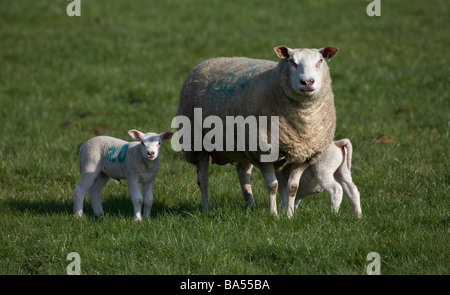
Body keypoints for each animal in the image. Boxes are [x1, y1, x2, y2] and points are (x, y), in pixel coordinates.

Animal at [176, 45, 338, 217]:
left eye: (320, 61)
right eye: (292, 62)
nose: (307, 82)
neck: (304, 118)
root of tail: (207, 61)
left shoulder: (305, 155)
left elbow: (293, 187)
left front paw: (289, 215)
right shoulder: (263, 152)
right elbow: (273, 185)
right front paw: (273, 214)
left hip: (244, 144)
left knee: (242, 172)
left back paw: (250, 204)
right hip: (196, 142)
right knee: (203, 179)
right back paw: (207, 208)